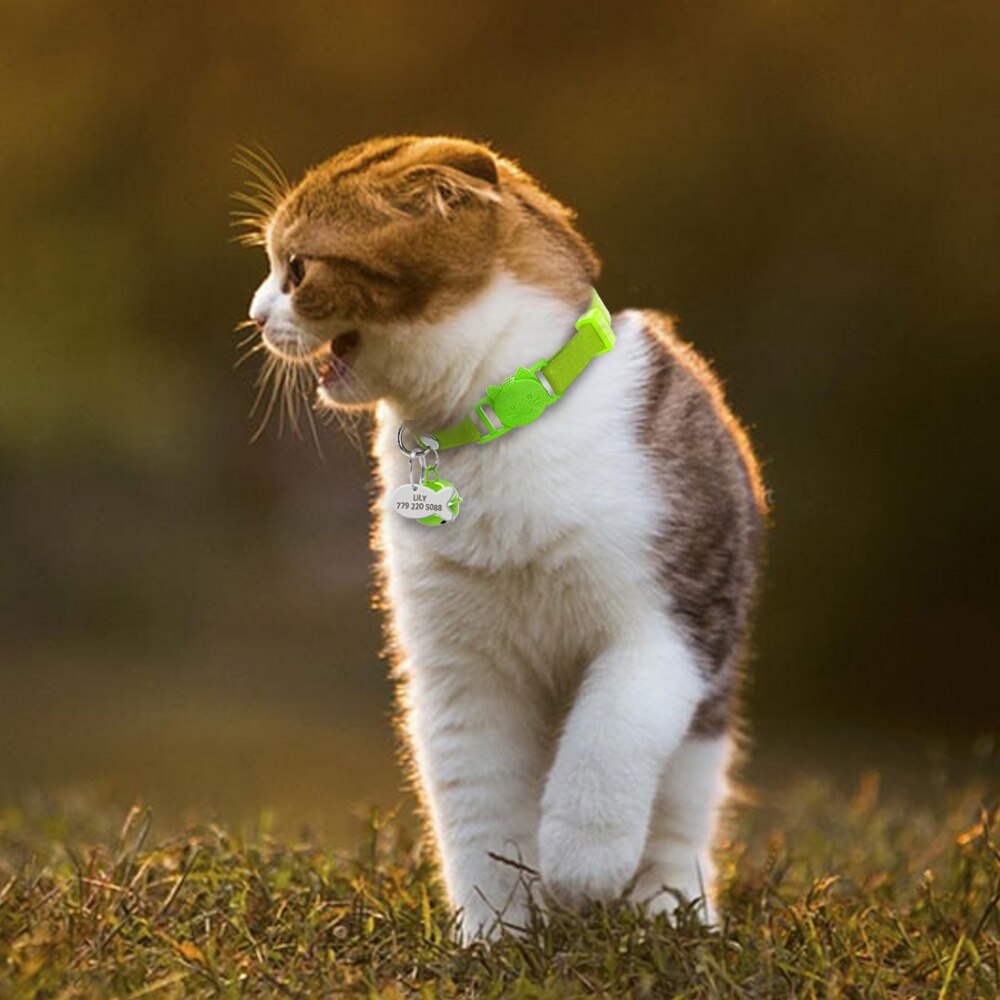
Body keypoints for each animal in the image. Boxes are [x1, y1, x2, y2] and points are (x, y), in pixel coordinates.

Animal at [242, 137, 764, 940]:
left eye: (296, 268)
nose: (256, 313)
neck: (499, 419)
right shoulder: (458, 664)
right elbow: (476, 798)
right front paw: (495, 933)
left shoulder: (675, 615)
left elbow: (612, 726)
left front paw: (582, 864)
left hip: (708, 693)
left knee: (683, 805)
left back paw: (669, 909)